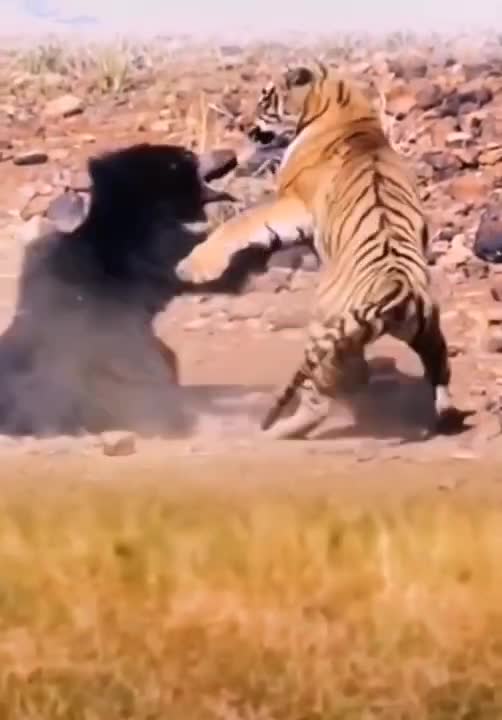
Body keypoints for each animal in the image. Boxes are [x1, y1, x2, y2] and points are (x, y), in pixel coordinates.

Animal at [176, 61, 456, 439]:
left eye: (265, 98)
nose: (245, 126)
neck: (344, 107)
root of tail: (397, 292)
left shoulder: (292, 204)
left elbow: (240, 223)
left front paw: (193, 266)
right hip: (428, 332)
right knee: (438, 373)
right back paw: (445, 415)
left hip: (324, 335)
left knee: (319, 398)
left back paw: (277, 431)